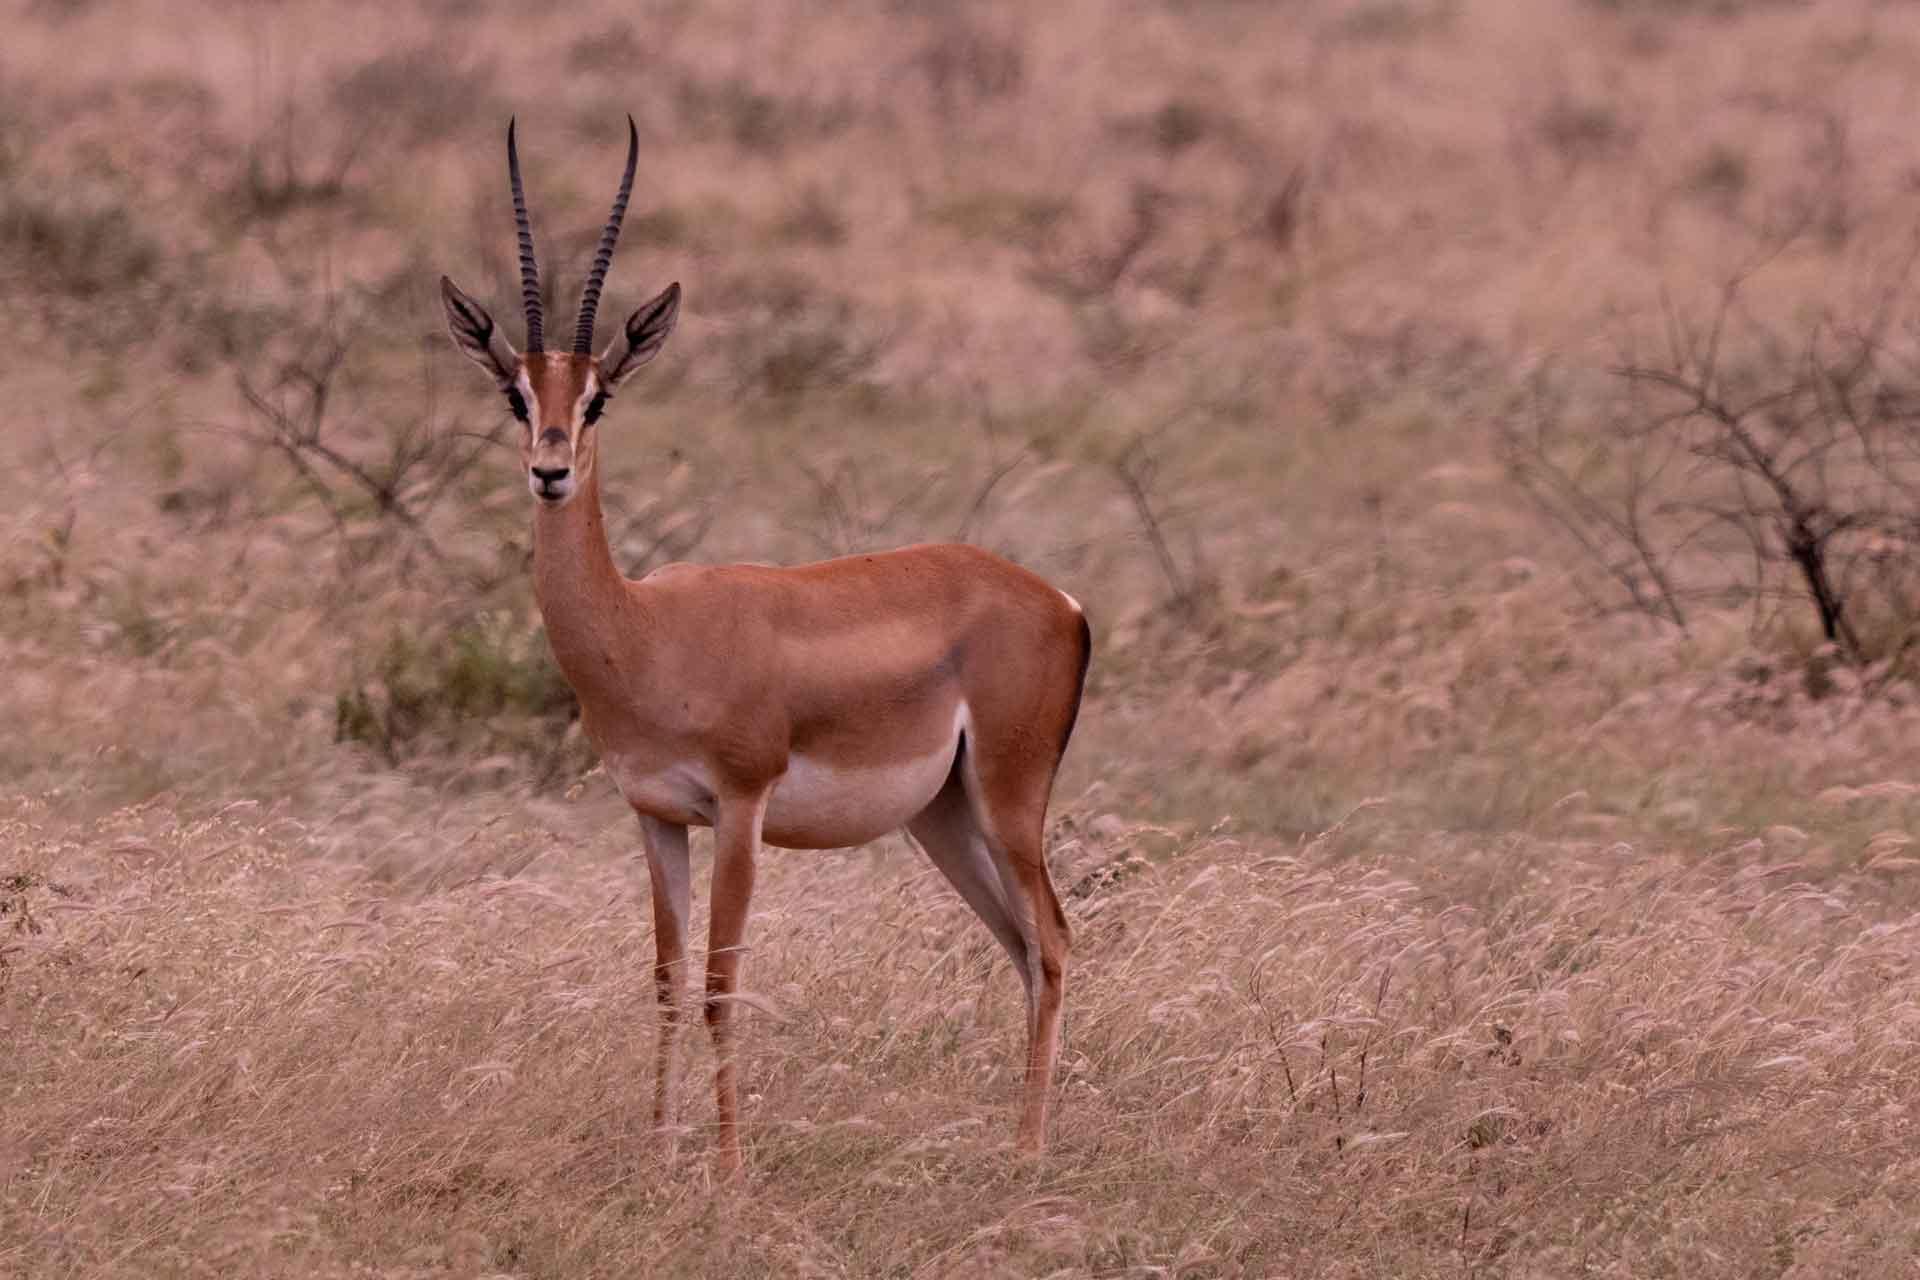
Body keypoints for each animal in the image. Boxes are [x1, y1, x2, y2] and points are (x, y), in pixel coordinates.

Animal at [439, 119, 1092, 1175]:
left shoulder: (740, 811)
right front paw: (659, 1152)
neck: (646, 634)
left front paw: (730, 1168)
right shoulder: (657, 816)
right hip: (944, 816)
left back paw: (1027, 1157)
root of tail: (1060, 601)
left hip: (1007, 801)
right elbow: (667, 983)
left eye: (599, 399)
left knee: (1057, 941)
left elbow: (721, 987)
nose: (548, 471)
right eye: (514, 394)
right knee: (1023, 948)